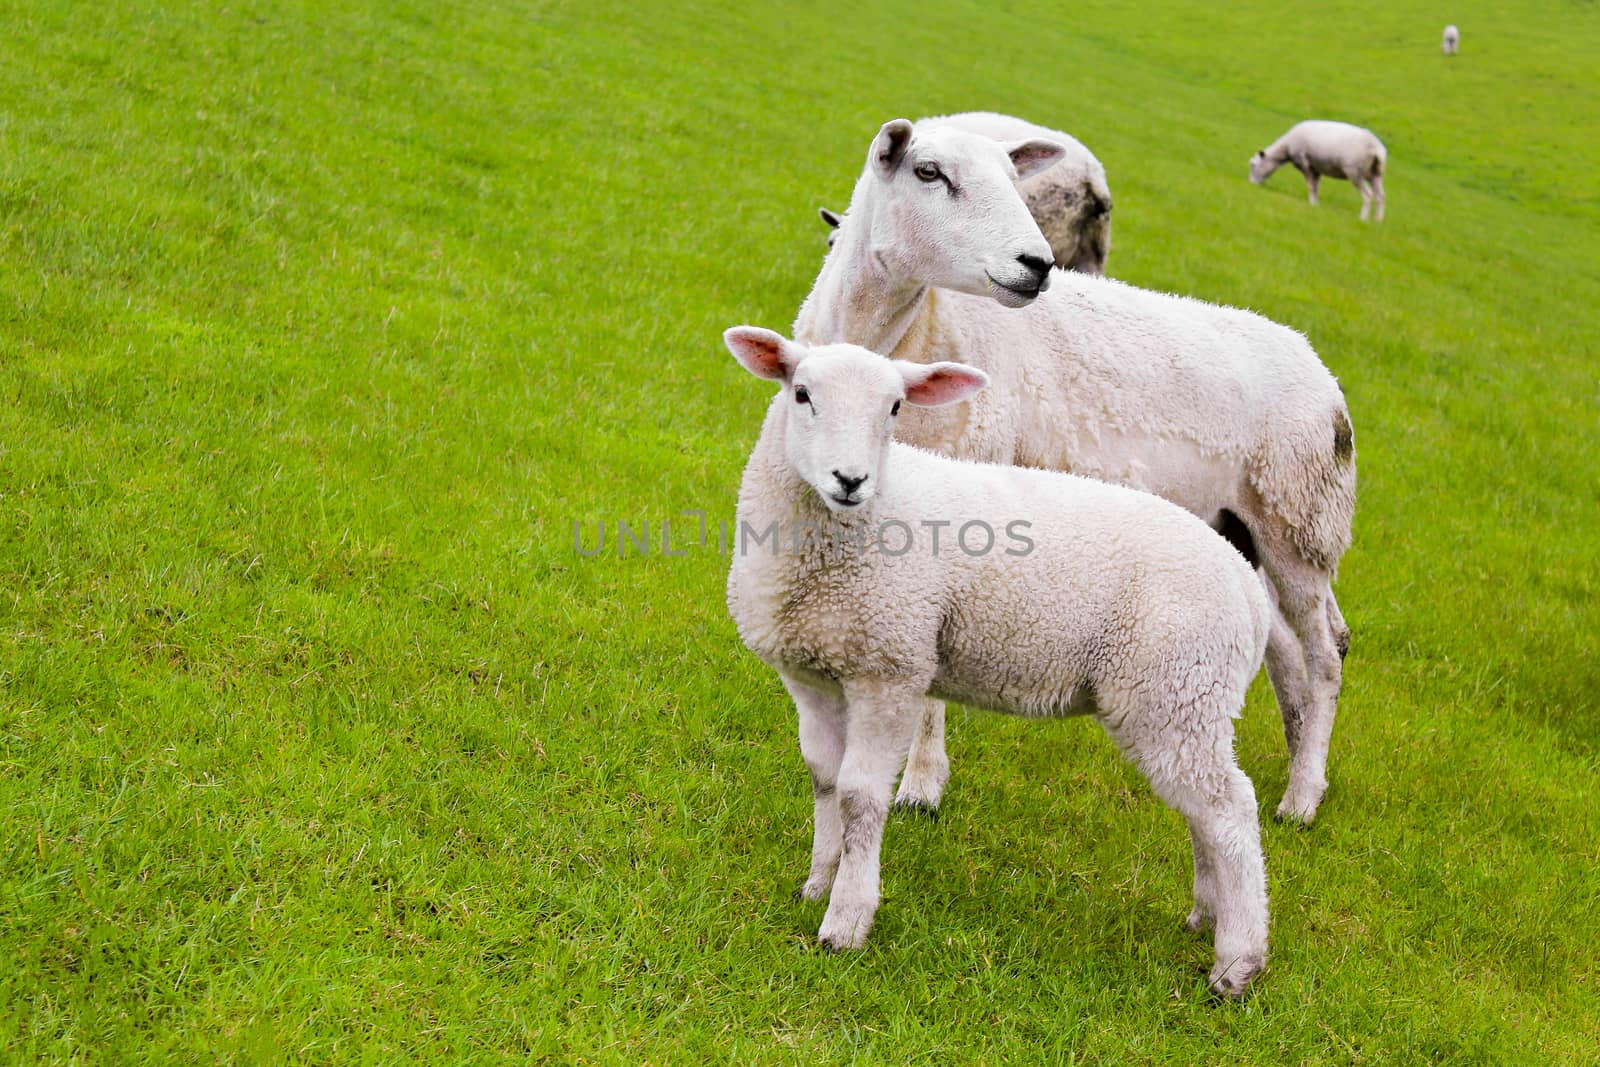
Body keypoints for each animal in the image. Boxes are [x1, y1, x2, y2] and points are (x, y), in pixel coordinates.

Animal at [726, 327, 1273, 1004]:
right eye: (801, 393)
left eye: (896, 408)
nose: (849, 479)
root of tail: (1248, 589)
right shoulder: (811, 675)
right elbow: (824, 781)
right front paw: (817, 885)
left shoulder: (892, 669)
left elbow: (859, 797)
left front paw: (846, 922)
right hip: (1186, 701)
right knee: (1205, 808)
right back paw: (1206, 916)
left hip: (1180, 686)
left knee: (1231, 810)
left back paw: (1237, 961)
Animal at [1248, 119, 1388, 222]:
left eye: (1253, 165)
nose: (1251, 184)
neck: (1285, 148)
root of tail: (1377, 148)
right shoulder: (1316, 168)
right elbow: (1316, 187)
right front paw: (1315, 204)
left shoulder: (1304, 162)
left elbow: (1310, 186)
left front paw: (1311, 203)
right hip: (1375, 174)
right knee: (1380, 196)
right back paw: (1378, 220)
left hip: (1354, 171)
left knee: (1368, 195)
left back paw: (1363, 218)